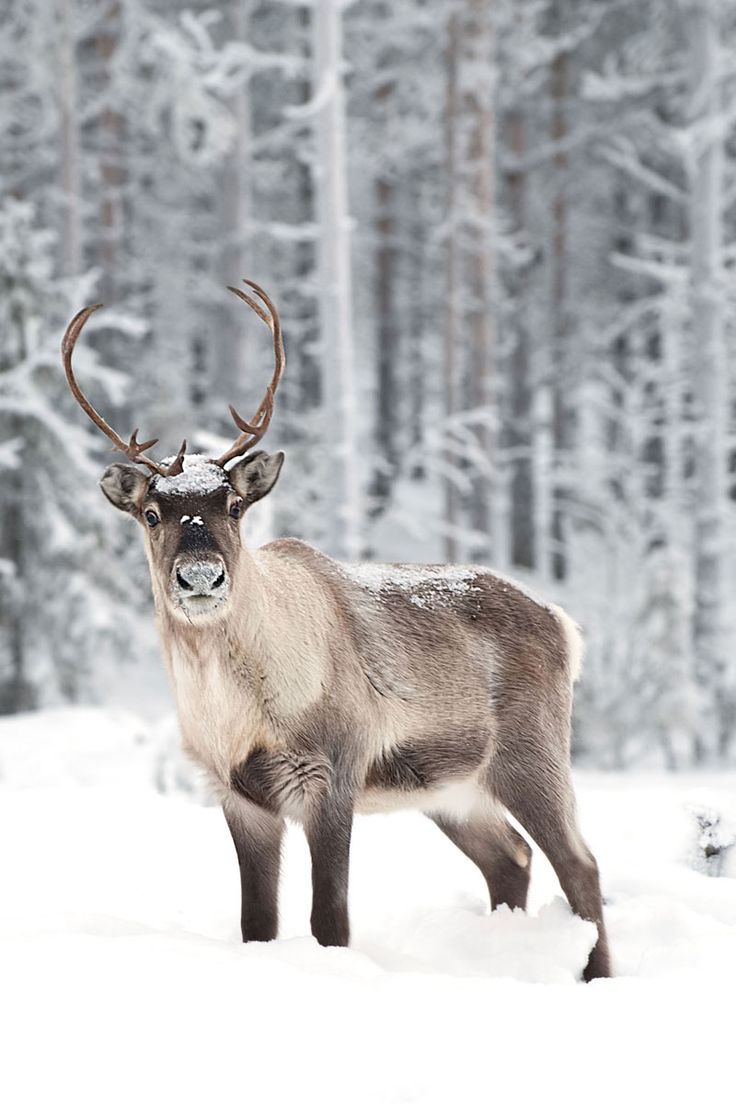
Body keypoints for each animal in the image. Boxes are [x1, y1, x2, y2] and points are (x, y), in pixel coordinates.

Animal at [63, 280, 613, 980]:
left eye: (234, 507)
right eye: (152, 513)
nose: (201, 577)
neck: (238, 711)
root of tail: (562, 624)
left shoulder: (332, 773)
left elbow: (331, 920)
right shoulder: (239, 795)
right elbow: (256, 924)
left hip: (531, 754)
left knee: (580, 864)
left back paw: (594, 974)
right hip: (453, 790)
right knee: (511, 858)